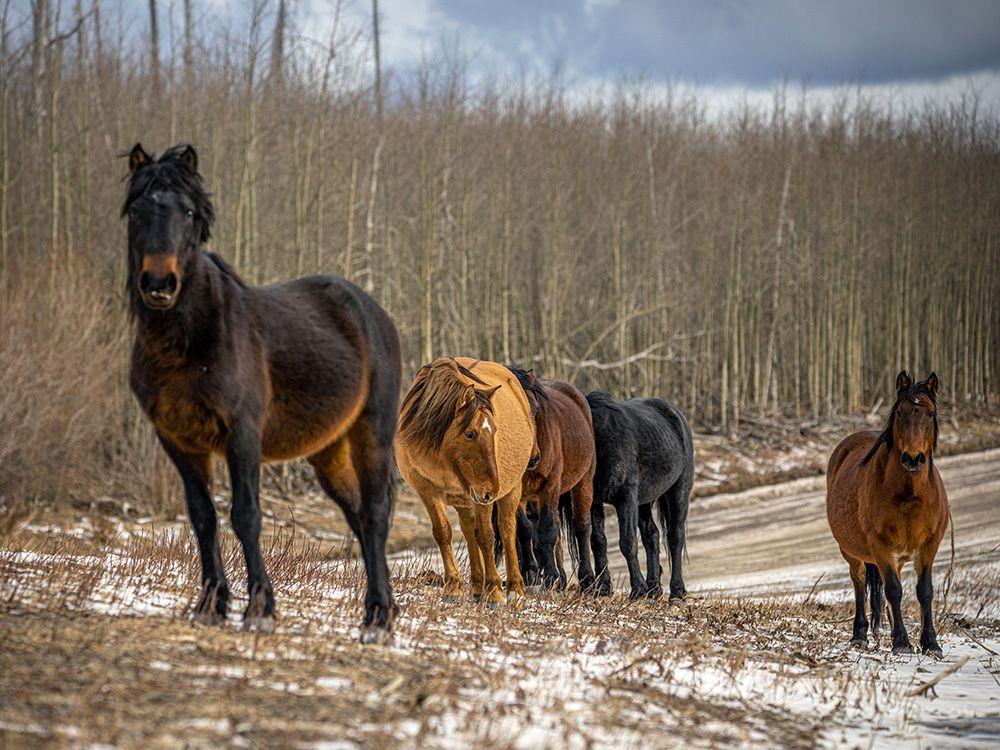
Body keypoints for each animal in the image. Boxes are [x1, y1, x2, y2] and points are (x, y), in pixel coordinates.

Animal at [124, 145, 402, 648]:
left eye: (188, 212)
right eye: (137, 210)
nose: (158, 284)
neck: (193, 339)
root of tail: (373, 311)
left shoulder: (242, 436)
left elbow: (246, 515)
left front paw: (260, 610)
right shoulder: (178, 441)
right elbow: (202, 518)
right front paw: (210, 606)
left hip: (371, 436)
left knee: (374, 516)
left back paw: (375, 620)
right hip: (328, 454)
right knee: (357, 518)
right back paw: (383, 613)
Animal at [396, 356, 540, 604]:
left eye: (494, 431)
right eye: (470, 433)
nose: (492, 489)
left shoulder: (481, 495)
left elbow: (486, 536)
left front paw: (494, 591)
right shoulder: (426, 489)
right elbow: (443, 533)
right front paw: (453, 588)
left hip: (508, 491)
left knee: (507, 530)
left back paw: (514, 588)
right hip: (464, 499)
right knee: (468, 532)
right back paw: (476, 587)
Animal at [504, 370, 596, 592]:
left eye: (535, 409)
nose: (532, 458)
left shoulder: (550, 487)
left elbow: (547, 530)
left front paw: (551, 576)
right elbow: (525, 530)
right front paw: (531, 573)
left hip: (583, 483)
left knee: (581, 527)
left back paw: (587, 579)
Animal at [584, 394, 696, 600]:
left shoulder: (625, 498)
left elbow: (628, 542)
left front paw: (637, 589)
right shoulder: (594, 501)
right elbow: (598, 541)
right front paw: (603, 589)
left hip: (678, 492)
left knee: (675, 537)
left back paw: (676, 591)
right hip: (644, 501)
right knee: (652, 534)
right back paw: (654, 588)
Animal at [824, 374, 948, 656]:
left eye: (931, 414)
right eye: (900, 413)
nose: (913, 458)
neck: (909, 495)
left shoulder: (929, 546)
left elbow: (924, 591)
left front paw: (930, 643)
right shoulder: (880, 546)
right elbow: (893, 590)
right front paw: (901, 642)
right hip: (851, 551)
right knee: (859, 582)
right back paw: (859, 635)